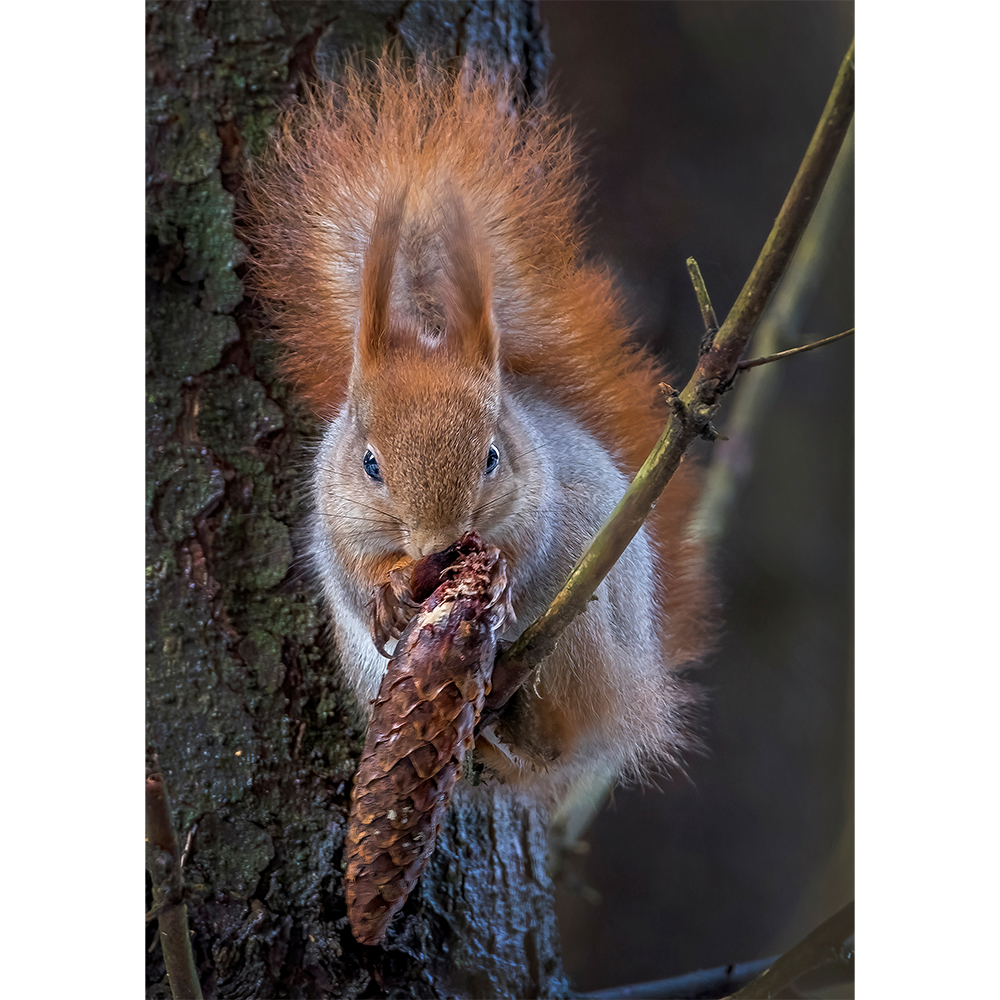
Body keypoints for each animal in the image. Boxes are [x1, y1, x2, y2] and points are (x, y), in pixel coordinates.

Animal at [242, 55, 713, 793]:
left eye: (492, 456)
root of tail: (634, 693)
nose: (440, 543)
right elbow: (349, 571)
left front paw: (502, 582)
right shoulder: (330, 516)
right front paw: (386, 593)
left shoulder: (543, 501)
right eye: (369, 463)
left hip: (585, 640)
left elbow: (530, 547)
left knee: (554, 739)